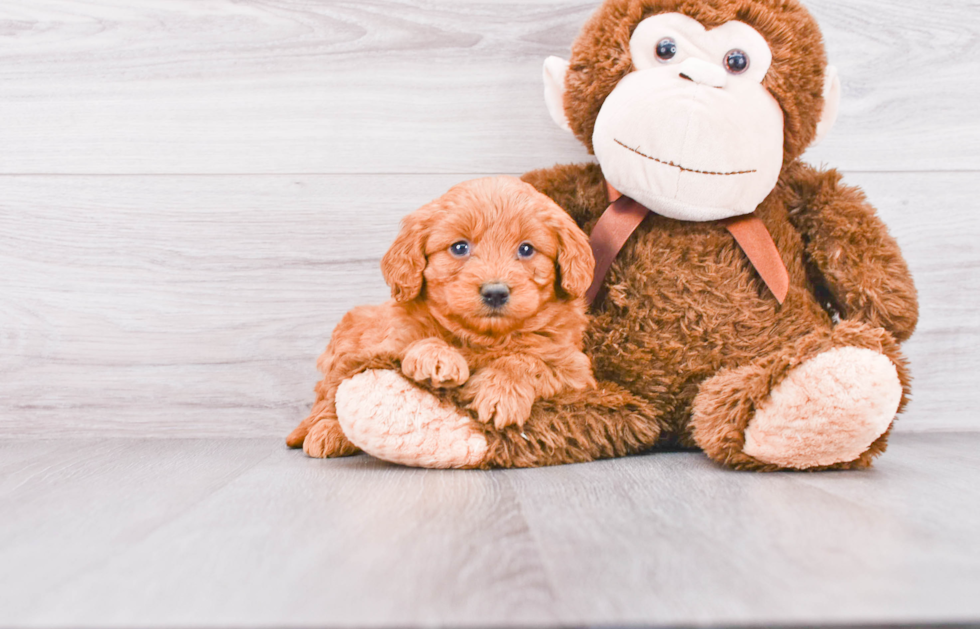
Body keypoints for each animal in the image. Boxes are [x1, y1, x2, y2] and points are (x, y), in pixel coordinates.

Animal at [286, 175, 596, 456]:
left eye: (527, 249)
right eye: (459, 247)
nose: (495, 292)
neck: (483, 338)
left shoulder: (576, 371)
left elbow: (528, 360)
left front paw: (500, 391)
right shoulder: (388, 343)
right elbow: (418, 341)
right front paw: (436, 357)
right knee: (328, 395)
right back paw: (327, 432)